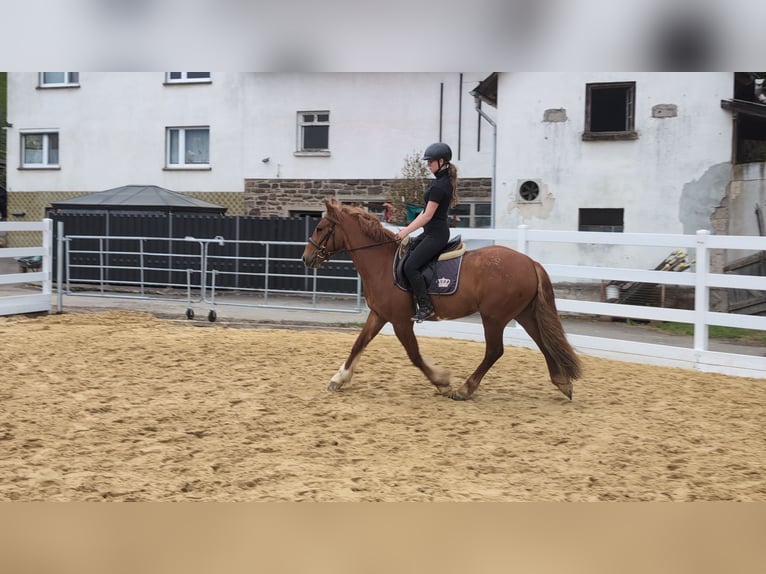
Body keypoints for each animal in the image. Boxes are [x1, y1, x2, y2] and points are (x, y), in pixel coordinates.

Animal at [302, 198, 582, 401]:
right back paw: (562, 382)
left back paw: (465, 389)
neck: (382, 263)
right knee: (542, 342)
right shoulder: (379, 315)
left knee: (495, 351)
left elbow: (414, 355)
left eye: (320, 228)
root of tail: (529, 261)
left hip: (494, 316)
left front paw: (442, 383)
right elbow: (358, 344)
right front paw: (339, 379)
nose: (306, 258)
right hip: (522, 313)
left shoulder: (401, 321)